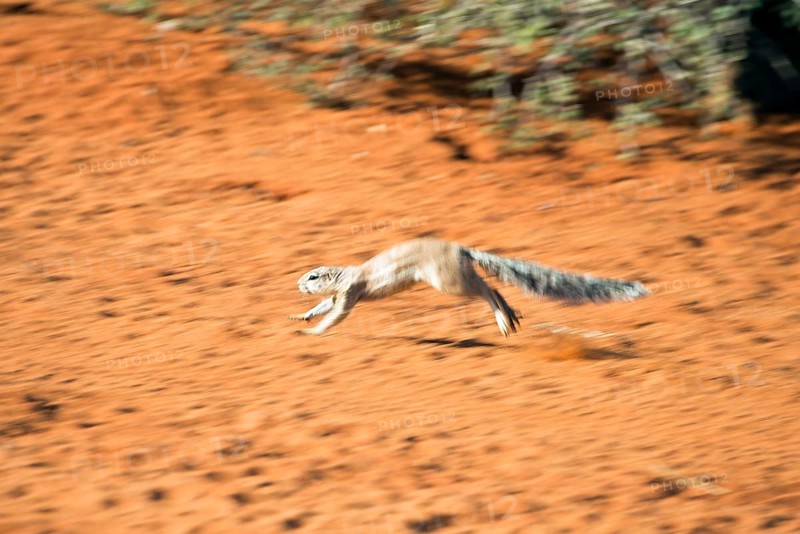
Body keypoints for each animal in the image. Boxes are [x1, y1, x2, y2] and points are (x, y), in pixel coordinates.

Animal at [289, 238, 648, 336]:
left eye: (312, 277)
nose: (296, 283)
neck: (344, 275)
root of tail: (463, 249)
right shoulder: (339, 295)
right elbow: (323, 308)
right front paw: (300, 317)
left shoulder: (349, 294)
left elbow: (335, 316)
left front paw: (312, 331)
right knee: (492, 287)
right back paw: (510, 317)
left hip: (449, 281)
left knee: (487, 289)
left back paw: (504, 320)